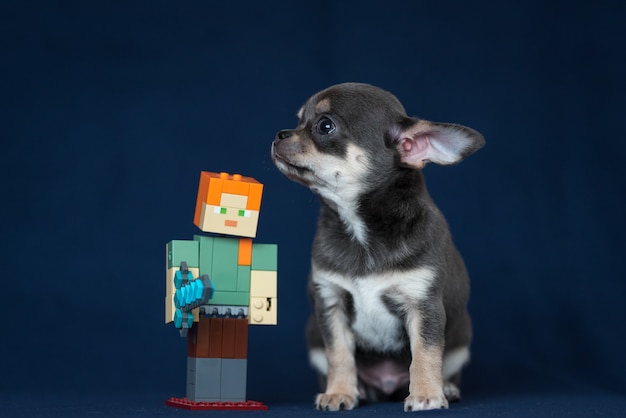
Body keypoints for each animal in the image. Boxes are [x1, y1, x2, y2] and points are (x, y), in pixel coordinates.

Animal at [270, 82, 482, 412]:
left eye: (325, 126)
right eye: (299, 120)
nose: (279, 134)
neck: (360, 232)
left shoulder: (423, 305)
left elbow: (425, 353)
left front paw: (426, 394)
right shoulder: (331, 303)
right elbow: (339, 355)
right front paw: (339, 392)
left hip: (461, 339)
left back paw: (446, 387)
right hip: (313, 335)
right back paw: (355, 390)